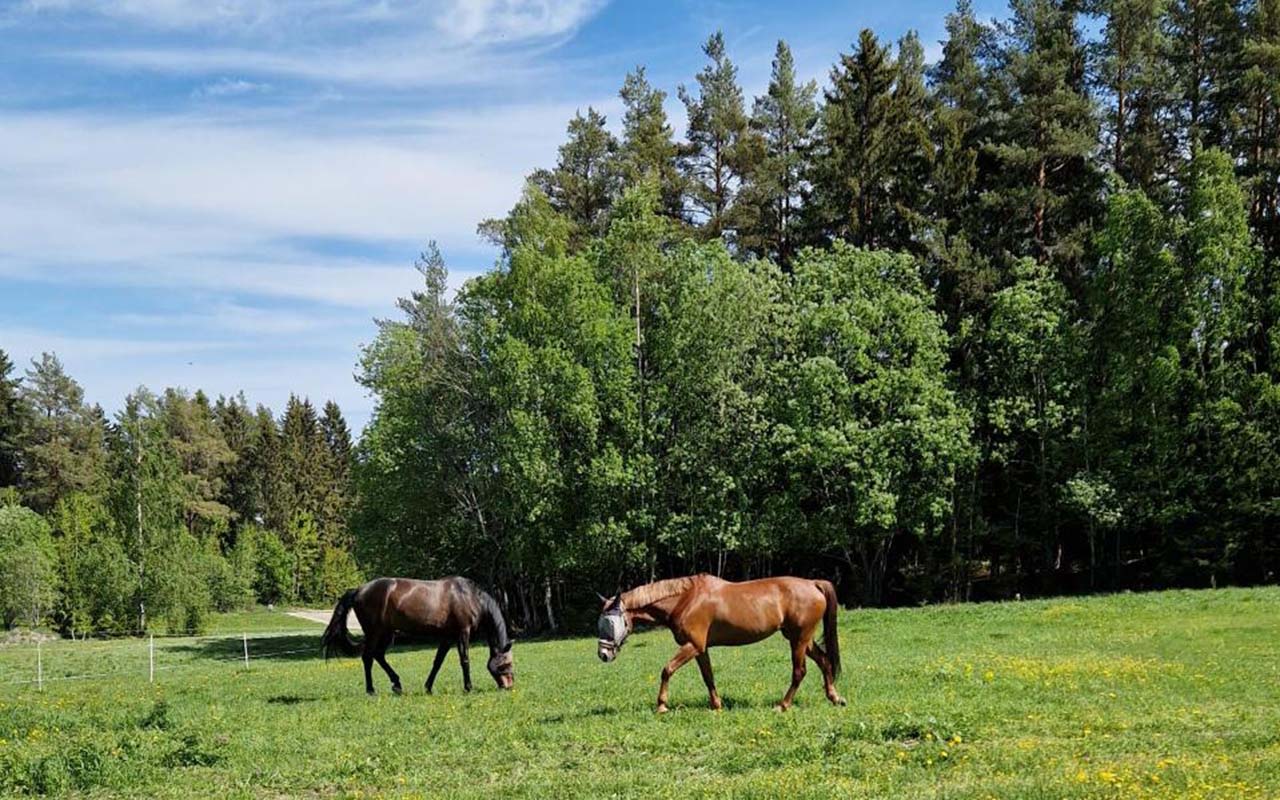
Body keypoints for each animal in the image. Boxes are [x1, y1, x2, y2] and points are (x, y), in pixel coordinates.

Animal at [320, 573, 514, 691]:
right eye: (505, 664)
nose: (509, 686)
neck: (469, 597)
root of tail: (358, 590)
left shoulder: (448, 637)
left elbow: (437, 662)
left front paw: (428, 687)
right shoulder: (462, 634)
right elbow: (464, 660)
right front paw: (468, 687)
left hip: (387, 633)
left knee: (378, 655)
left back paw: (397, 684)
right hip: (374, 633)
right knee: (368, 657)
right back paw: (371, 690)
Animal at [596, 573, 844, 711]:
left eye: (611, 623)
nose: (603, 655)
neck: (686, 599)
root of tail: (813, 583)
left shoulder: (693, 646)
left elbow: (667, 670)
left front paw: (662, 705)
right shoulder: (700, 649)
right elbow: (708, 677)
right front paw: (716, 705)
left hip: (799, 639)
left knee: (799, 672)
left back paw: (783, 705)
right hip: (801, 638)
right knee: (824, 661)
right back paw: (835, 697)